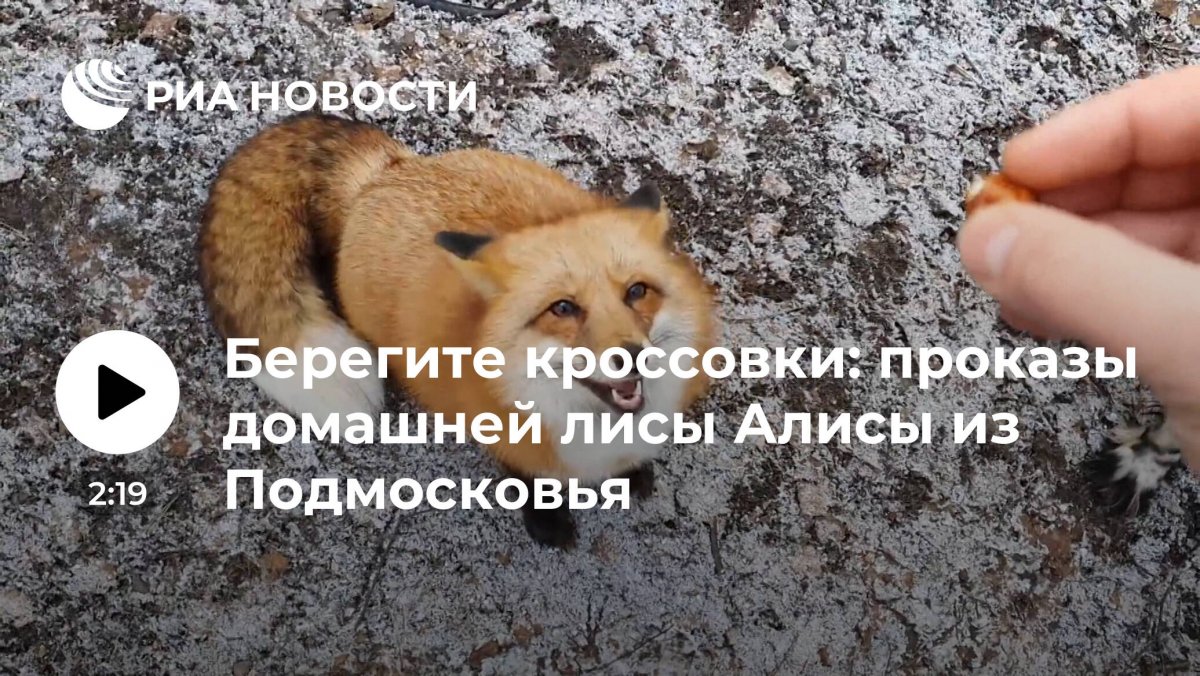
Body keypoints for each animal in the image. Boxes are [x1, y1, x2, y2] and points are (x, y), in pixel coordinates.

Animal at [198, 113, 718, 547]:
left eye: (637, 292)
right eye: (563, 308)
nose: (633, 354)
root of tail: (386, 173)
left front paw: (633, 476)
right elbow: (527, 479)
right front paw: (546, 520)